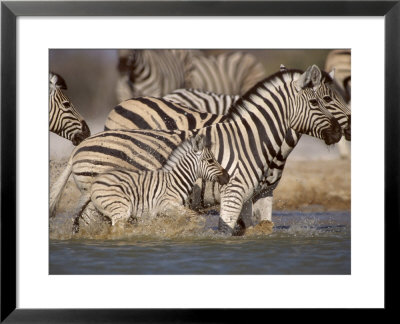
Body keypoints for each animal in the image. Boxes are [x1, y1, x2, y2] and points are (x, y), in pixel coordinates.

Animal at [72, 134, 228, 230]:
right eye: (210, 161)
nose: (227, 177)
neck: (176, 180)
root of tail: (94, 184)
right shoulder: (166, 204)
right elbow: (194, 216)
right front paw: (189, 229)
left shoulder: (160, 213)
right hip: (120, 208)